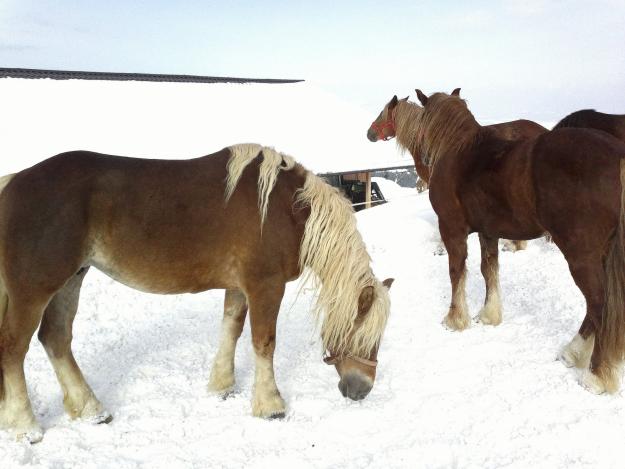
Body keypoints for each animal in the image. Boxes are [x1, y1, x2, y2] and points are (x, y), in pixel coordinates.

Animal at [0, 144, 392, 442]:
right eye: (364, 333)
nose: (362, 389)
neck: (285, 208)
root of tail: (13, 181)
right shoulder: (265, 285)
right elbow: (264, 343)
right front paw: (270, 406)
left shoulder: (238, 287)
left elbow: (230, 331)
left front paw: (222, 386)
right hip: (35, 288)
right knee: (14, 347)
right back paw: (25, 427)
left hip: (71, 279)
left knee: (55, 338)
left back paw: (91, 411)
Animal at [386, 89, 624, 394]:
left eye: (424, 120)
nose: (425, 159)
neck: (458, 151)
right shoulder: (489, 232)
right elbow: (489, 270)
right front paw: (489, 315)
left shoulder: (452, 229)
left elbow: (456, 272)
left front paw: (455, 319)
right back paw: (573, 353)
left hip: (582, 255)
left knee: (600, 306)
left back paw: (594, 375)